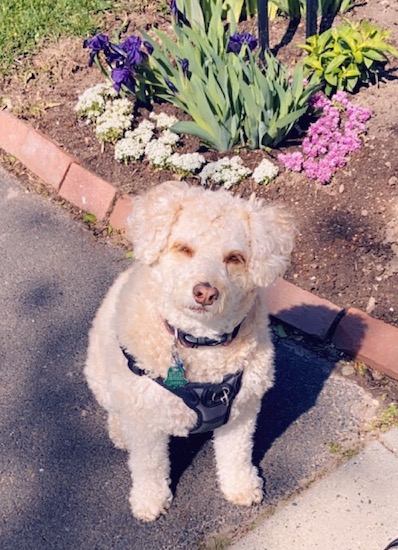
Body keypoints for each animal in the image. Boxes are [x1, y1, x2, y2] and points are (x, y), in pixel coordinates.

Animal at [84, 181, 296, 520]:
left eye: (234, 258)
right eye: (183, 249)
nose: (206, 292)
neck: (201, 343)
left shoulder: (242, 411)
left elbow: (237, 455)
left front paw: (240, 486)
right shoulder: (145, 420)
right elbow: (149, 467)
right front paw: (150, 501)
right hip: (102, 377)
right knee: (115, 410)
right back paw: (119, 430)